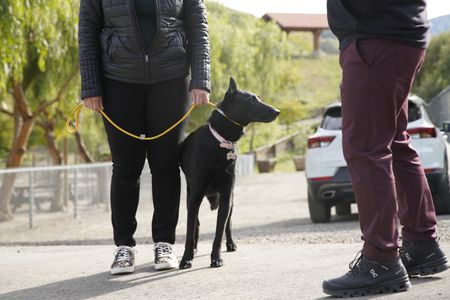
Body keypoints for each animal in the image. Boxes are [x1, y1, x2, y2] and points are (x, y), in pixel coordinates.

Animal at [178, 78, 278, 270]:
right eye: (252, 100)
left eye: (259, 98)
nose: (277, 111)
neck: (221, 142)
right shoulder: (195, 197)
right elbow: (189, 231)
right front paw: (186, 258)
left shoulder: (226, 196)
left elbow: (219, 232)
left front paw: (216, 258)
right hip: (191, 196)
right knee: (196, 223)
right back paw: (194, 248)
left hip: (231, 199)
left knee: (228, 224)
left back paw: (230, 244)